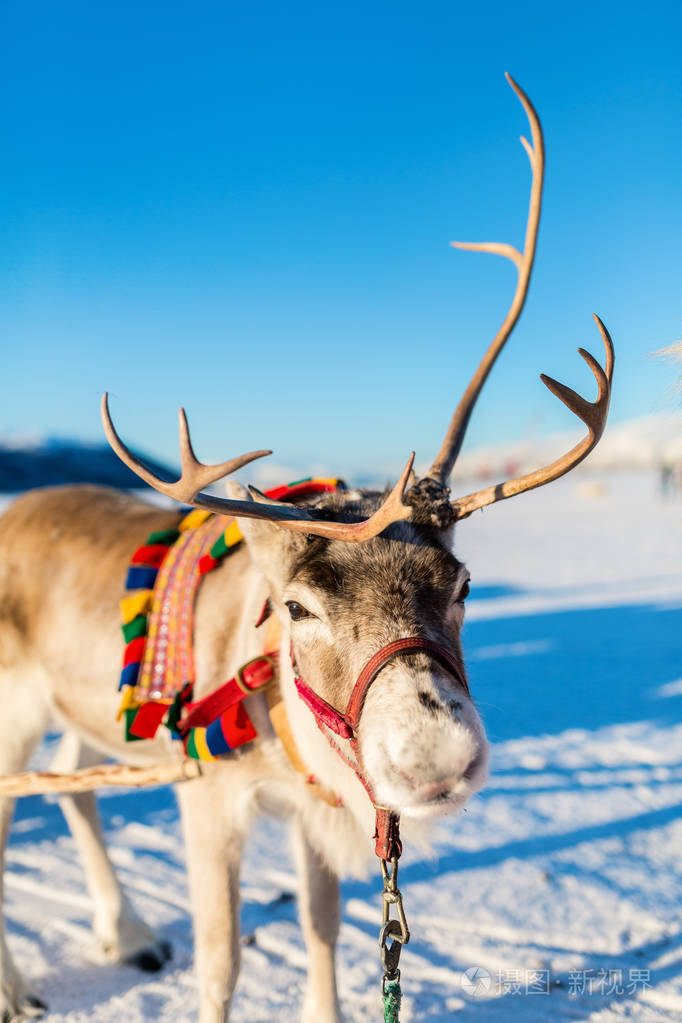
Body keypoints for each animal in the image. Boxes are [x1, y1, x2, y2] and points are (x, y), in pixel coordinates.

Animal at [0, 74, 613, 1023]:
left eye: (463, 580)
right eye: (296, 605)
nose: (436, 760)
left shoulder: (313, 812)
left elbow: (322, 928)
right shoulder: (209, 797)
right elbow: (221, 964)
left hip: (84, 714)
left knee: (76, 792)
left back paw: (130, 932)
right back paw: (21, 986)